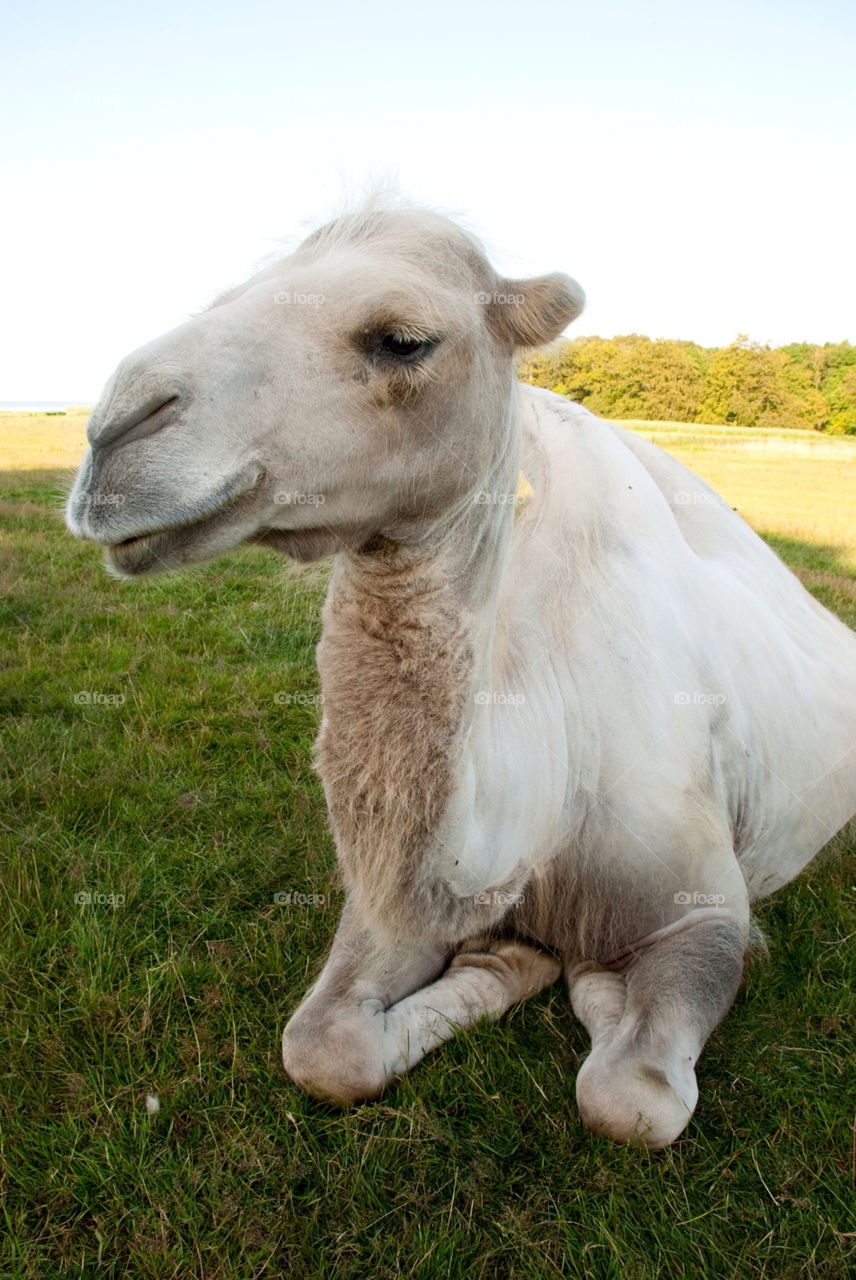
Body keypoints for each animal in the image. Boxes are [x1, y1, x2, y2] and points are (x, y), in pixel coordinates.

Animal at [66, 202, 854, 1152]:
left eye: (404, 339)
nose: (113, 434)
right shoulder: (397, 905)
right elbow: (322, 1046)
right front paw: (510, 960)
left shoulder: (707, 909)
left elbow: (629, 1098)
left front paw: (577, 975)